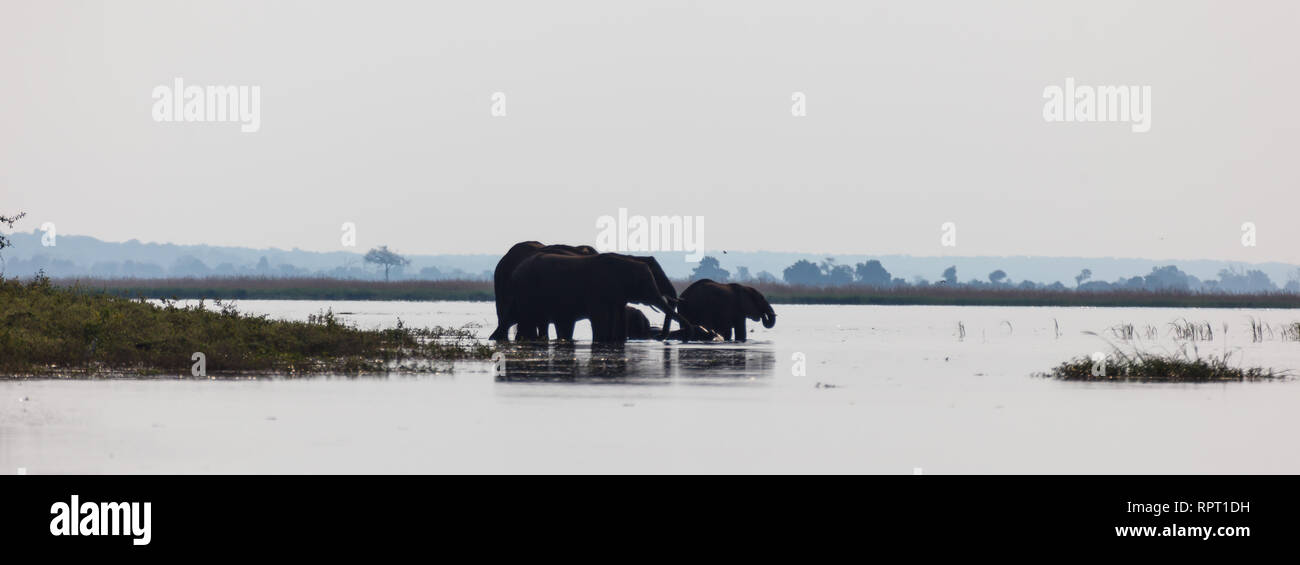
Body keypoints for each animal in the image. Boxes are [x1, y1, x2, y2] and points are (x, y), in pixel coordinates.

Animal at [506, 253, 696, 342]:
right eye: (646, 283)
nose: (659, 337)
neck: (627, 260)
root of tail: (514, 272)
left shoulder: (617, 295)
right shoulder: (597, 291)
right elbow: (598, 317)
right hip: (525, 292)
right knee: (528, 320)